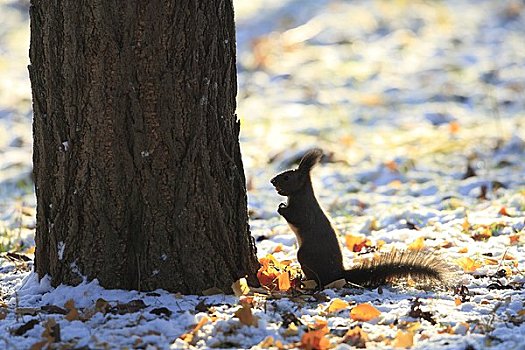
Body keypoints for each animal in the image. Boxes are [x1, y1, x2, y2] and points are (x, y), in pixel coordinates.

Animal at [270, 149, 450, 288]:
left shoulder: (304, 211)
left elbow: (295, 217)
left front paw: (281, 207)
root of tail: (339, 273)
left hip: (306, 255)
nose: (272, 181)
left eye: (286, 177)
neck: (300, 194)